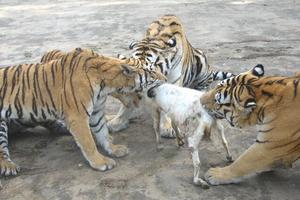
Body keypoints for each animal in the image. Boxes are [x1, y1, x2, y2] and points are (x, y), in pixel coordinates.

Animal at [0, 47, 164, 178]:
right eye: (152, 73)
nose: (165, 78)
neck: (106, 85)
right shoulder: (77, 116)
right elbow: (88, 142)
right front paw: (100, 162)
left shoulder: (96, 112)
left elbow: (102, 132)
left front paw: (113, 149)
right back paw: (9, 167)